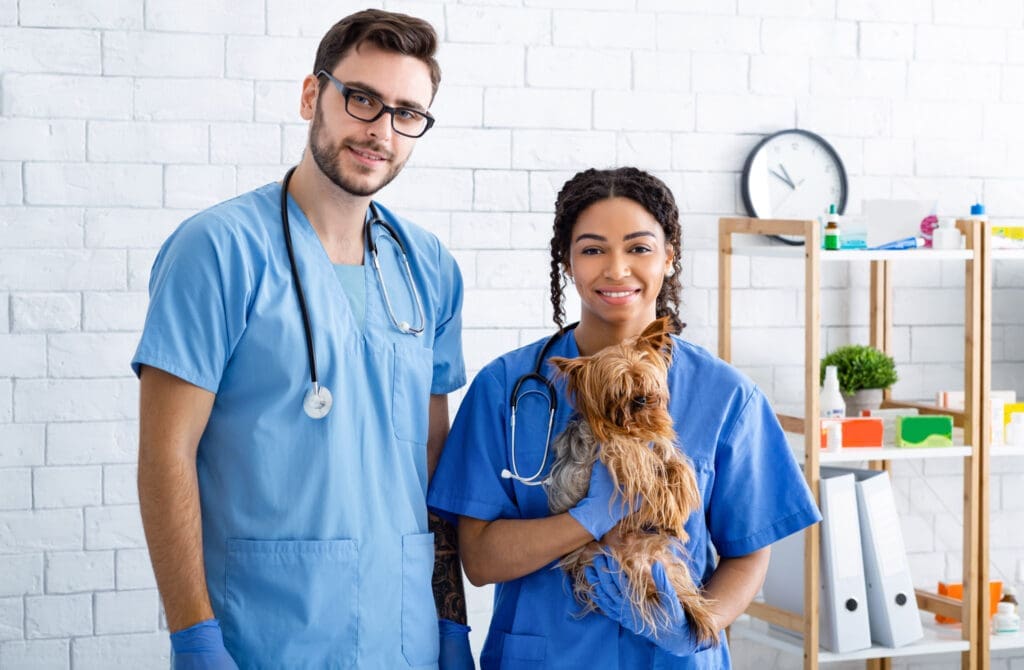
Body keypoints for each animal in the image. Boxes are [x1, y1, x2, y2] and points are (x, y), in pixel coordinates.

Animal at [548, 317, 716, 647]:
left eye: (644, 380)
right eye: (619, 390)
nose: (640, 400)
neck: (634, 428)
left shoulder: (660, 447)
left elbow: (677, 465)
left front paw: (678, 512)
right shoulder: (621, 454)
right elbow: (648, 472)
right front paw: (669, 510)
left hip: (660, 557)